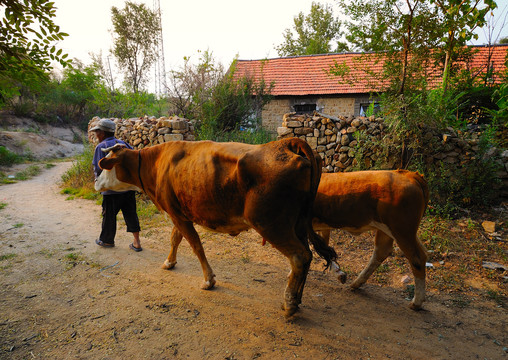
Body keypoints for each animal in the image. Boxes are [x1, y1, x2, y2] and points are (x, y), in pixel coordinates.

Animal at [95, 137, 340, 316]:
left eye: (105, 166)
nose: (95, 181)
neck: (155, 163)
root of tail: (286, 143)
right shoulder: (179, 213)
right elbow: (175, 238)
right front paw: (169, 262)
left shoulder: (176, 214)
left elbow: (195, 245)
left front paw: (208, 280)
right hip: (297, 223)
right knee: (307, 255)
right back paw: (296, 298)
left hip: (270, 223)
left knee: (299, 256)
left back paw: (289, 304)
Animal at [314, 169, 428, 310]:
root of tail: (409, 174)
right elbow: (324, 249)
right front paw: (339, 273)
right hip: (393, 230)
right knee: (383, 251)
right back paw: (357, 282)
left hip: (402, 230)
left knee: (417, 258)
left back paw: (416, 302)